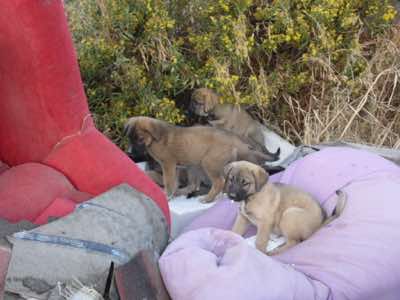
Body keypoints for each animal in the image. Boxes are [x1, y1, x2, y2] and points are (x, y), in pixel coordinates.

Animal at [123, 116, 280, 203]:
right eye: (129, 138)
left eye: (140, 139)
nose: (129, 152)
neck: (157, 139)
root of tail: (233, 141)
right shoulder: (176, 167)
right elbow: (174, 183)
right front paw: (172, 194)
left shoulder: (168, 165)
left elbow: (168, 183)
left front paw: (166, 196)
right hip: (193, 165)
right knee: (194, 185)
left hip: (207, 163)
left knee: (218, 182)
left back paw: (207, 199)